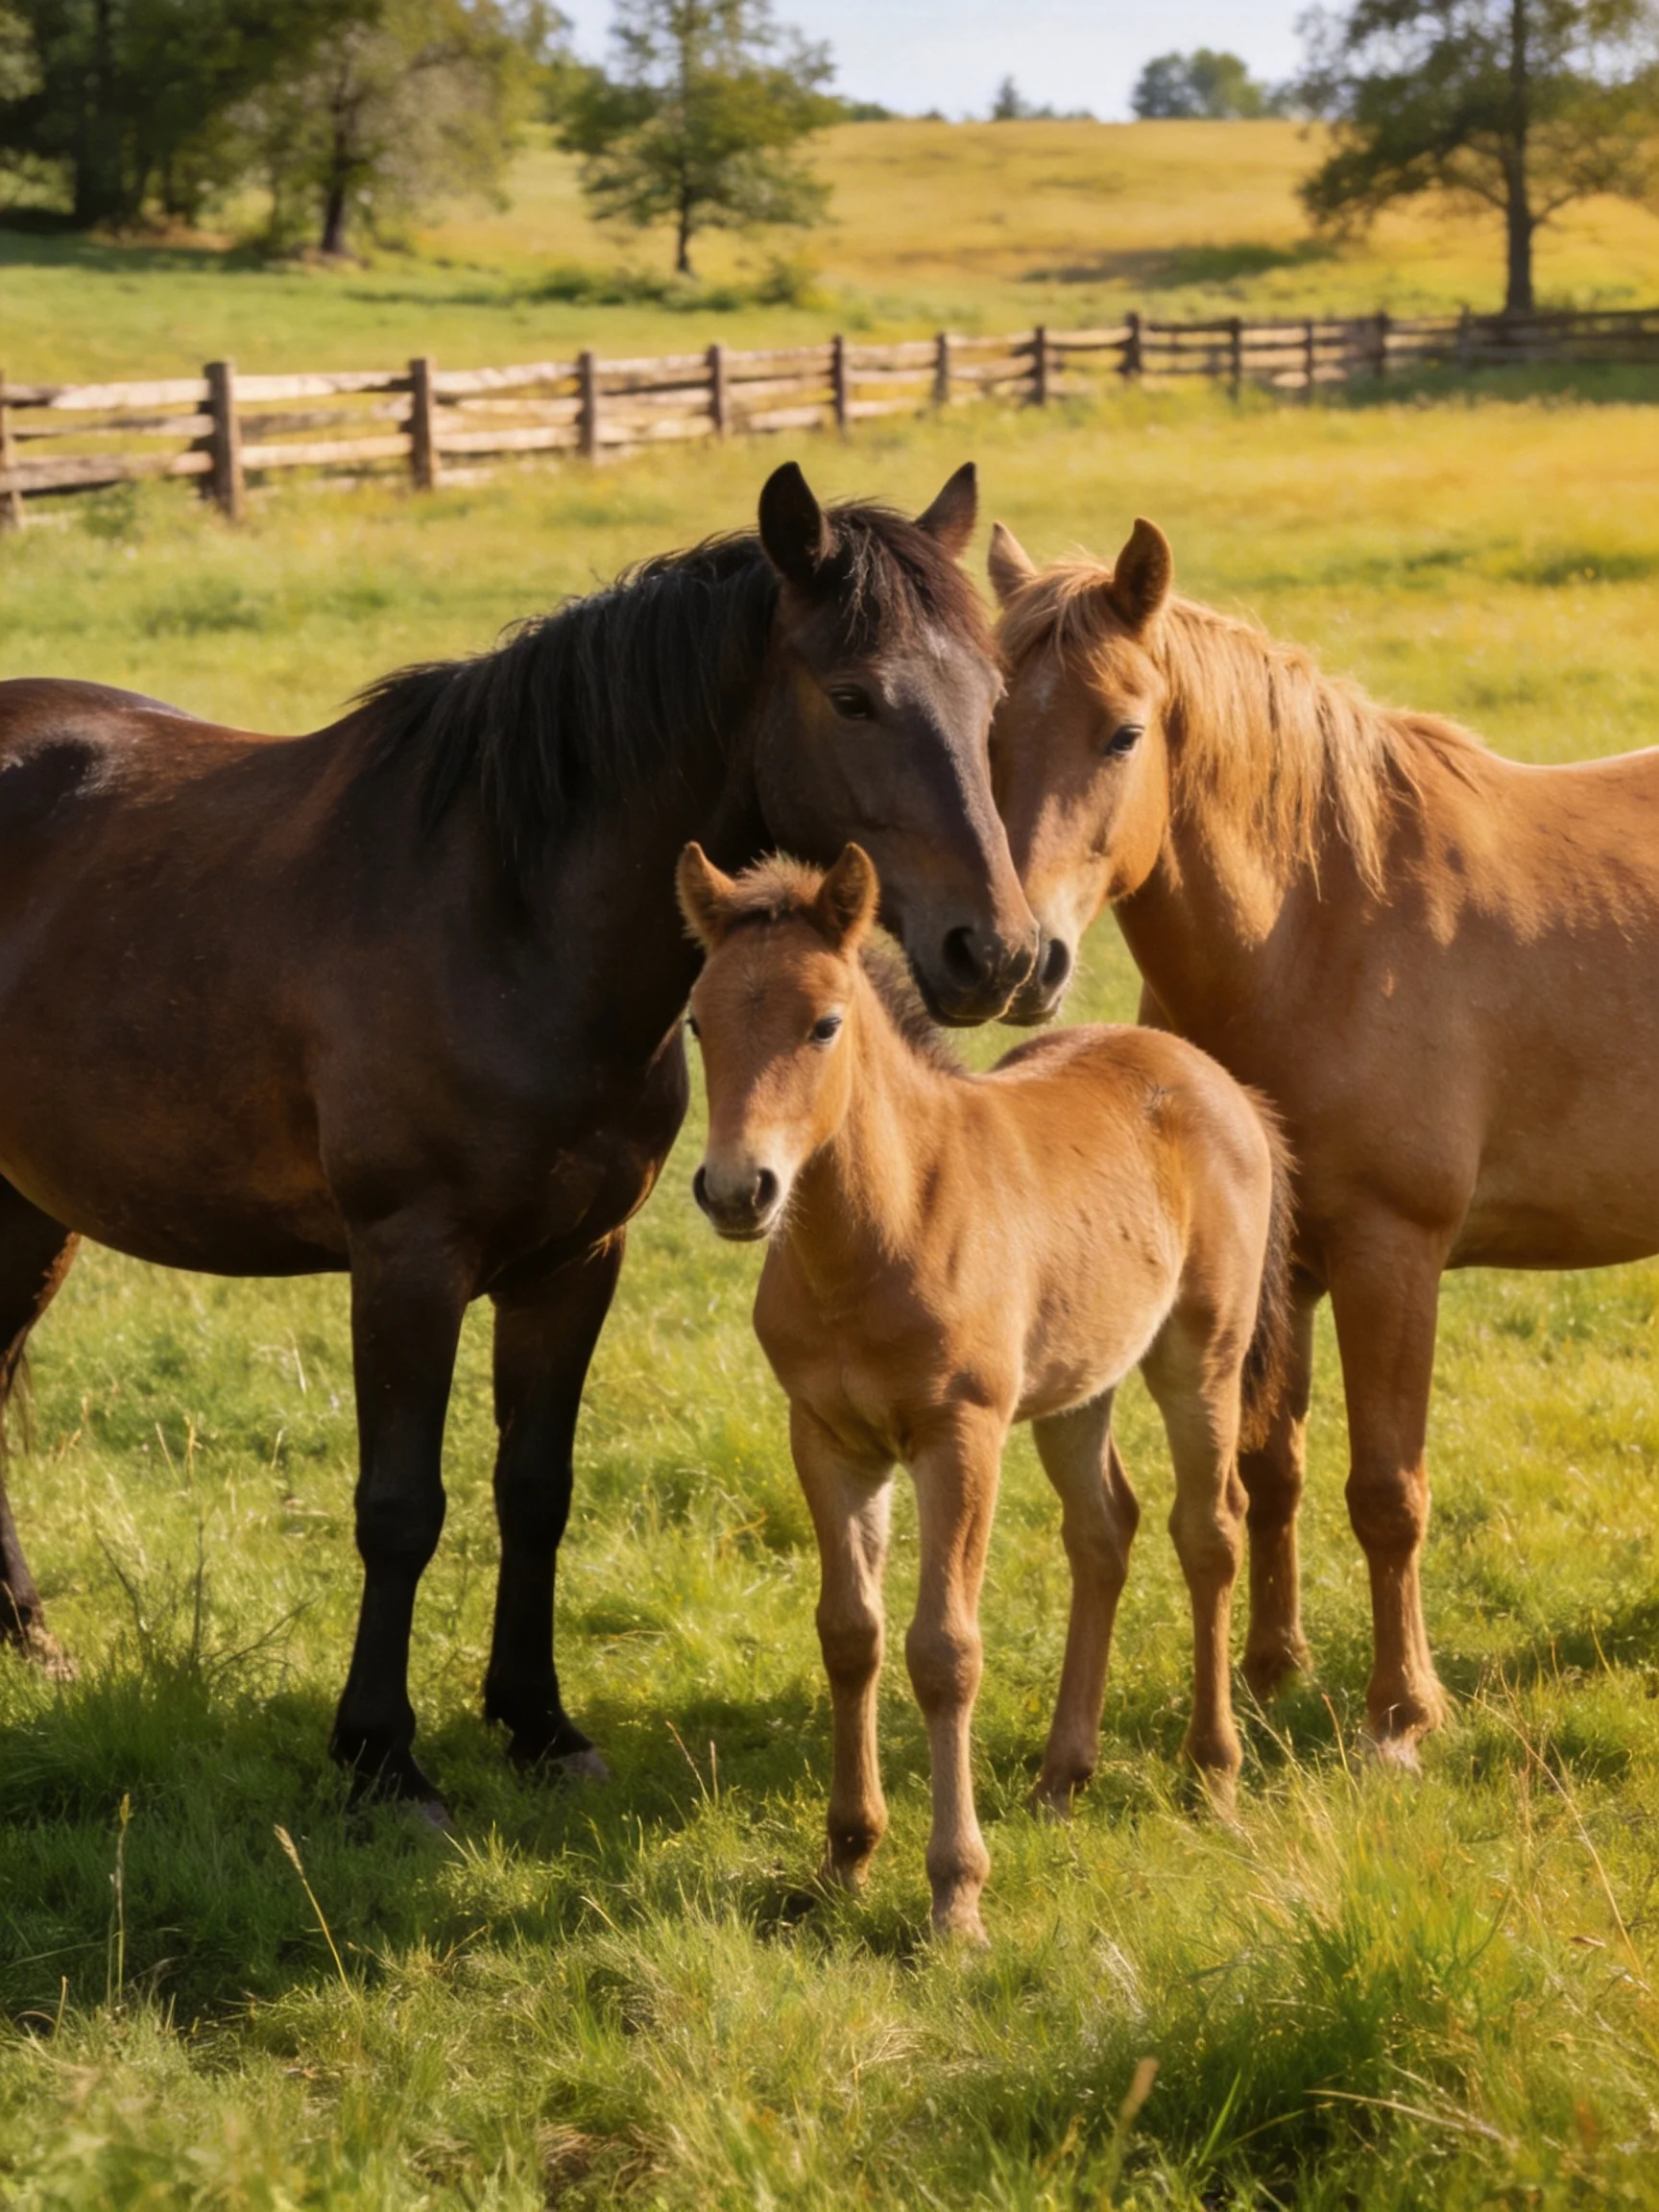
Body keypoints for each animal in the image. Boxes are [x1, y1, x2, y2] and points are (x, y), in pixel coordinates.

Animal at [0, 460, 1041, 1819]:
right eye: (856, 695)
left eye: (994, 698)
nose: (1000, 953)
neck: (510, 917)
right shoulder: (408, 1261)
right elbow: (401, 1504)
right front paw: (382, 1756)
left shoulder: (574, 1262)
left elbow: (535, 1489)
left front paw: (537, 1722)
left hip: (28, 1212)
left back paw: (30, 1639)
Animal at [677, 840, 1293, 1941]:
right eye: (699, 1020)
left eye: (824, 1023)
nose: (739, 1190)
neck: (875, 1234)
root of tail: (1213, 1079)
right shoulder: (827, 1437)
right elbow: (850, 1635)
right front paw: (845, 1858)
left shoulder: (958, 1436)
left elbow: (944, 1651)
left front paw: (955, 1897)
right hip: (1076, 1384)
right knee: (1104, 1531)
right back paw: (1060, 1779)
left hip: (1201, 1358)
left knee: (1209, 1530)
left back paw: (1212, 1774)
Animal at [986, 513, 1659, 1766]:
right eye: (986, 727)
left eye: (1123, 733)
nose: (1012, 959)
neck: (1321, 925)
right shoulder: (1279, 1268)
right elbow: (1270, 1470)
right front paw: (1270, 1672)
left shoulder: (1391, 1256)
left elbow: (1385, 1491)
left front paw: (1402, 1710)